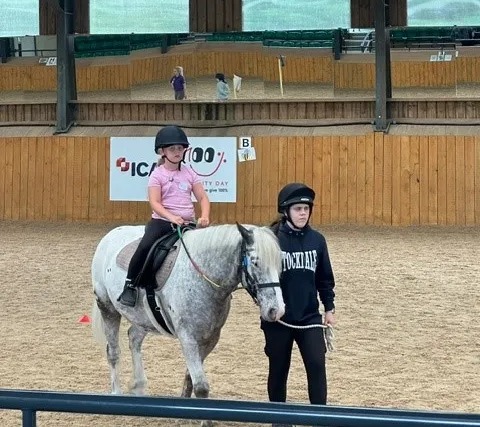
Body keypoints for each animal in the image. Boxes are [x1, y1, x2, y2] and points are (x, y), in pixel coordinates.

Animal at [92, 224, 284, 427]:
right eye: (255, 262)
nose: (276, 310)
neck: (203, 277)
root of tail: (111, 234)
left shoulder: (211, 338)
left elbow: (190, 377)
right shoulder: (188, 338)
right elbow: (201, 386)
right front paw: (206, 421)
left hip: (143, 319)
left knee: (134, 338)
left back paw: (139, 386)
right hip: (107, 308)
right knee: (113, 352)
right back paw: (116, 393)